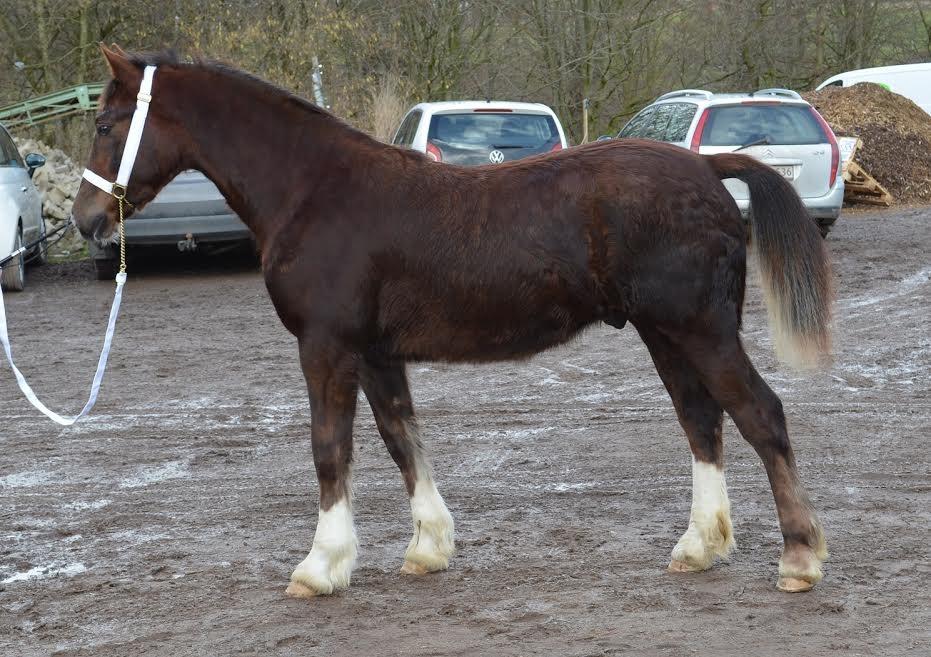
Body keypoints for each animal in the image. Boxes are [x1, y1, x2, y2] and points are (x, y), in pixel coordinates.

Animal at [71, 48, 832, 596]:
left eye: (106, 126)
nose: (83, 220)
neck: (314, 189)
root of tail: (708, 167)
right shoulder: (377, 353)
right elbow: (401, 440)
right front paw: (428, 548)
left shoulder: (327, 347)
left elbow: (330, 449)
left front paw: (320, 566)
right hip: (664, 333)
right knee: (702, 421)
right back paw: (700, 546)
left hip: (700, 330)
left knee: (760, 414)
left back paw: (798, 558)